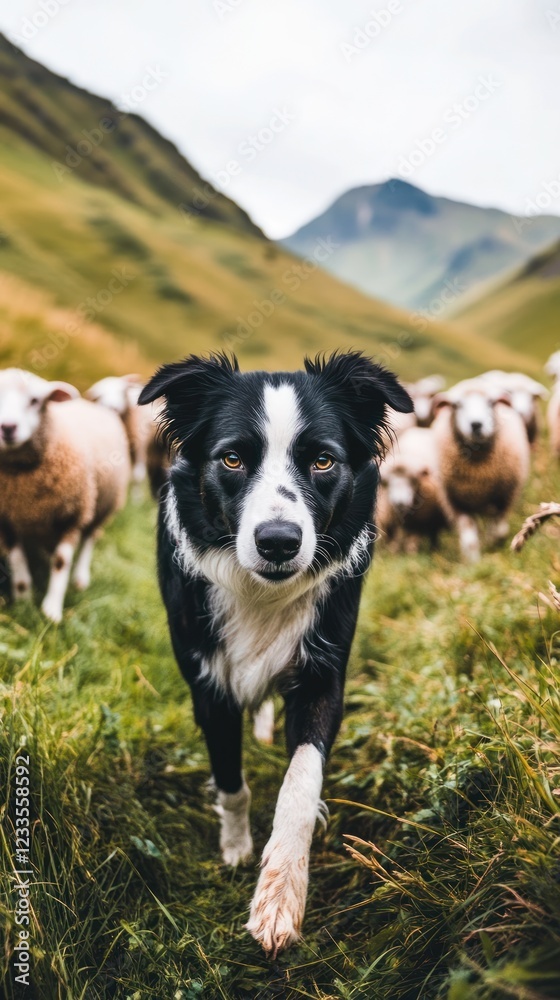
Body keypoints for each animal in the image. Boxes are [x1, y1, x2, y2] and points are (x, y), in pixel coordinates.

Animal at [0, 369, 130, 622]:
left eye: (35, 400)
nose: (7, 427)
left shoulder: (72, 516)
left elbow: (61, 562)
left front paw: (51, 610)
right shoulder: (7, 521)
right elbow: (17, 559)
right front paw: (23, 601)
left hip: (103, 504)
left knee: (90, 537)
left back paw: (80, 577)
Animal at [431, 378, 530, 562]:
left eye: (491, 402)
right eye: (457, 405)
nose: (476, 424)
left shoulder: (504, 496)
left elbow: (499, 530)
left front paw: (492, 543)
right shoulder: (456, 502)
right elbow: (470, 540)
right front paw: (473, 562)